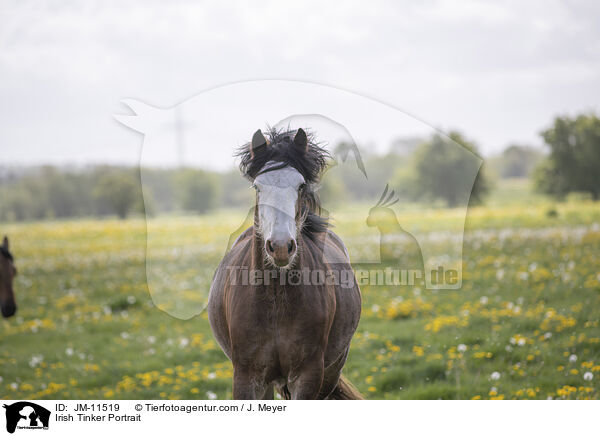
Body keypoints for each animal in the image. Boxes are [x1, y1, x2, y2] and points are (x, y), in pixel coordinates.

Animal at [209, 127, 360, 400]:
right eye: (258, 187)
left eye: (300, 186)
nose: (280, 246)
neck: (276, 300)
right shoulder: (246, 377)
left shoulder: (309, 377)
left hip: (330, 372)